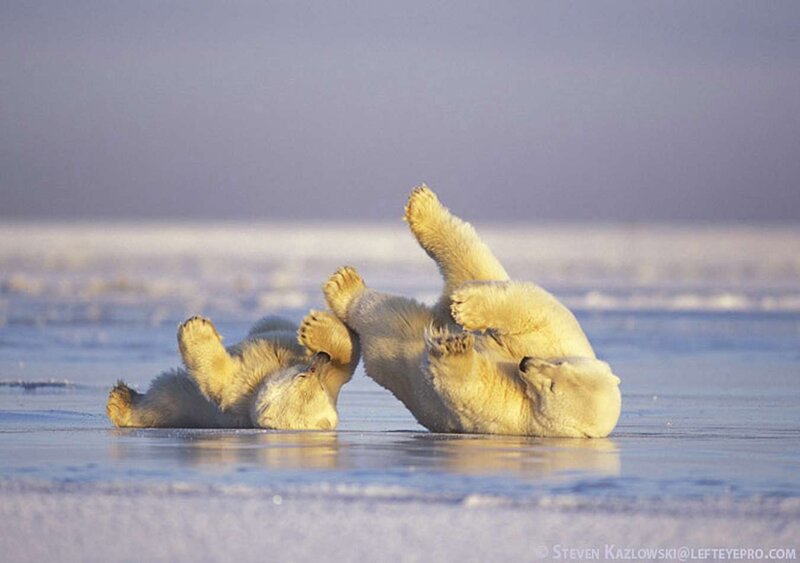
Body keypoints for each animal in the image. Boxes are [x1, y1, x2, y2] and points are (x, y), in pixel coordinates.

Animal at [107, 308, 359, 430]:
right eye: (305, 375)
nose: (322, 358)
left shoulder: (241, 389)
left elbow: (218, 378)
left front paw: (195, 328)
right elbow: (349, 359)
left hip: (184, 402)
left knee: (163, 397)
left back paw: (119, 401)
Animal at [322, 185, 621, 438]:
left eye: (552, 387)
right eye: (560, 365)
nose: (526, 362)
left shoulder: (516, 414)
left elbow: (473, 388)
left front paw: (452, 347)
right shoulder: (562, 339)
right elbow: (534, 308)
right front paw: (467, 311)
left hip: (391, 352)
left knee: (390, 317)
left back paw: (342, 293)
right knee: (473, 264)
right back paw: (422, 209)